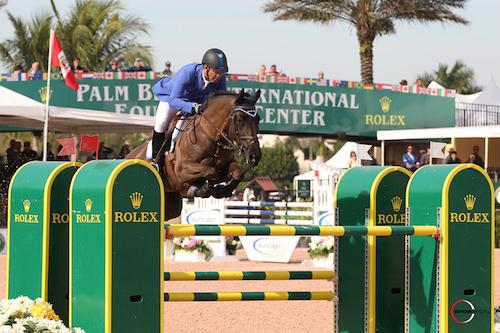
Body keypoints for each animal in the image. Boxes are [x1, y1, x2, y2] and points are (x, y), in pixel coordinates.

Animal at [126, 87, 262, 220]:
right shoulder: (182, 171)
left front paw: (221, 191)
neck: (210, 136)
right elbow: (211, 172)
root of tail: (129, 155)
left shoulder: (226, 165)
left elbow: (237, 173)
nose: (255, 156)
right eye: (239, 120)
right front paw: (203, 189)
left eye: (258, 119)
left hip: (171, 205)